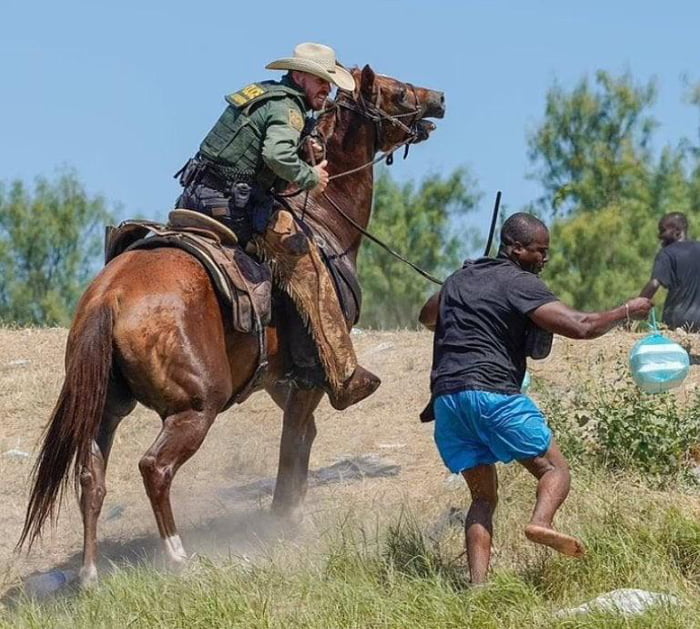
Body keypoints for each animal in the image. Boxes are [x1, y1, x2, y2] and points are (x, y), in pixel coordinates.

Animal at [19, 66, 446, 588]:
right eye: (398, 91)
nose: (439, 99)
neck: (323, 217)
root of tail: (110, 297)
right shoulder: (310, 377)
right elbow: (293, 443)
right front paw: (286, 519)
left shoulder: (280, 380)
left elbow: (302, 437)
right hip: (195, 408)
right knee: (154, 468)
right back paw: (177, 555)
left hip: (107, 406)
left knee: (90, 478)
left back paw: (90, 574)